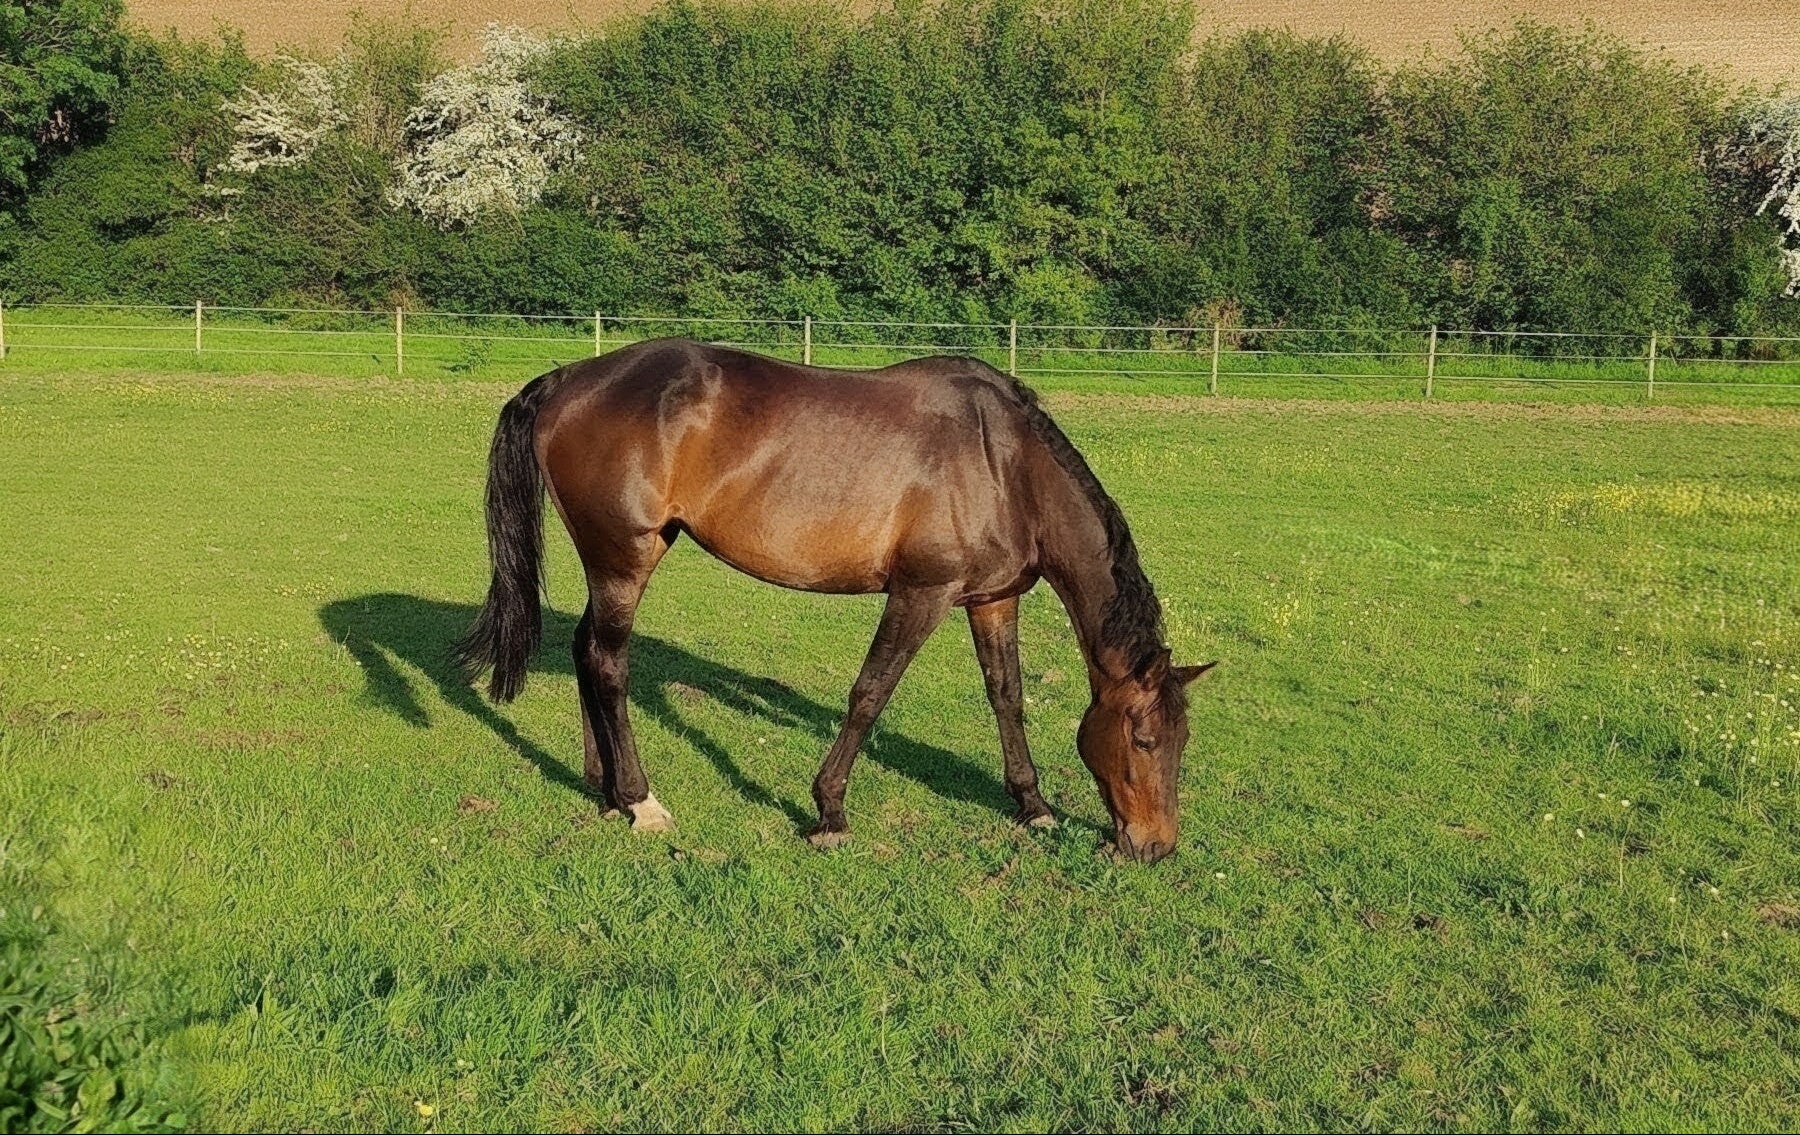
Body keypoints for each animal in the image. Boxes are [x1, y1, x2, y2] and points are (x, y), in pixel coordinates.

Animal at [454, 338, 1214, 862]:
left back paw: (605, 789)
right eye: (1144, 738)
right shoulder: (921, 593)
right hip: (623, 559)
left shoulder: (992, 599)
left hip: (615, 561)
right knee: (609, 663)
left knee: (586, 650)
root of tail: (566, 380)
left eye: (1182, 741)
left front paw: (1032, 803)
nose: (1154, 846)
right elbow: (870, 693)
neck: (1003, 463)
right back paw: (642, 802)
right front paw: (829, 813)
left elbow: (1007, 695)